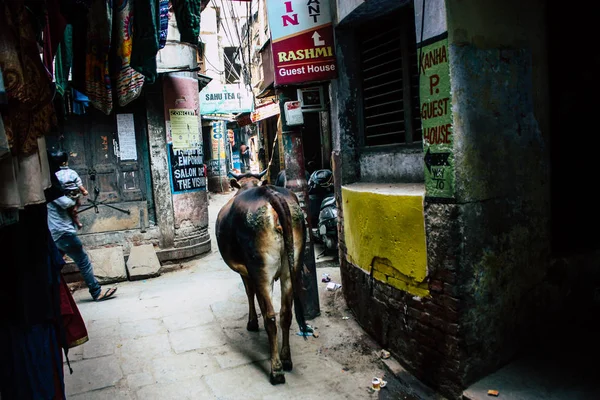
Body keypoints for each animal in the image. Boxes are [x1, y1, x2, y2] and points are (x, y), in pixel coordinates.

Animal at [216, 169, 308, 384]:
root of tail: (269, 194)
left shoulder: (247, 271)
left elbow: (250, 294)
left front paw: (251, 323)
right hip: (292, 267)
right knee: (285, 314)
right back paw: (286, 359)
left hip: (261, 270)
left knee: (270, 317)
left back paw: (276, 370)